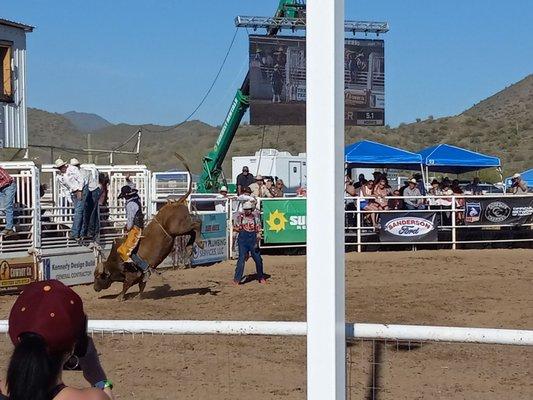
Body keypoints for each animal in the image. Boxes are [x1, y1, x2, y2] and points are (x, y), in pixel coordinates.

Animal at [92, 154, 203, 300]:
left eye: (98, 277)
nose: (94, 288)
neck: (117, 260)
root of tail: (176, 202)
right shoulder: (140, 278)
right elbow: (142, 286)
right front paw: (138, 297)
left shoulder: (132, 274)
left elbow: (126, 285)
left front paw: (120, 297)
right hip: (179, 230)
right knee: (192, 231)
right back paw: (190, 247)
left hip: (179, 227)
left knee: (197, 224)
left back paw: (200, 243)